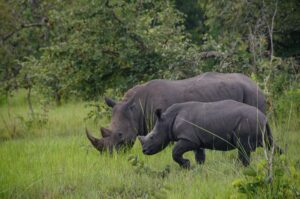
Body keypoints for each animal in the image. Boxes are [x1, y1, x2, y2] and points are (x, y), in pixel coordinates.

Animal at [138, 99, 282, 168]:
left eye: (152, 137)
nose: (144, 151)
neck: (167, 120)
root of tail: (264, 117)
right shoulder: (196, 140)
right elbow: (200, 156)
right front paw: (197, 169)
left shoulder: (188, 139)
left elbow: (175, 152)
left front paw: (186, 165)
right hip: (260, 125)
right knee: (270, 144)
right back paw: (280, 159)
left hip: (248, 121)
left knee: (243, 148)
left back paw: (241, 168)